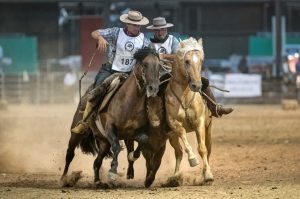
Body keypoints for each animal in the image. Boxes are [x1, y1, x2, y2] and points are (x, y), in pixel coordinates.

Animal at [60, 47, 162, 187]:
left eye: (159, 65)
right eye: (145, 64)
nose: (153, 88)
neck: (129, 101)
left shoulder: (133, 133)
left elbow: (143, 142)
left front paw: (132, 158)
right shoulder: (110, 129)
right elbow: (117, 147)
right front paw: (113, 171)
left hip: (104, 143)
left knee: (97, 162)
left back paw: (97, 181)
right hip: (76, 133)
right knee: (70, 154)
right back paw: (64, 179)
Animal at [162, 37, 213, 183]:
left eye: (201, 60)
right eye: (186, 61)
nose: (197, 85)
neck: (184, 97)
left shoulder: (199, 123)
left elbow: (202, 149)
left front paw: (208, 174)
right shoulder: (174, 124)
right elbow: (183, 135)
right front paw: (192, 159)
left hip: (208, 129)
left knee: (208, 149)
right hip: (171, 136)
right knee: (178, 152)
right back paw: (175, 176)